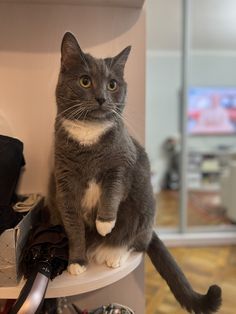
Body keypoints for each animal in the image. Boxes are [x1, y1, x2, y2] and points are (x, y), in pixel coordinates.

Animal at [47, 32, 221, 314]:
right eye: (85, 81)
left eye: (112, 85)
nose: (101, 98)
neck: (88, 134)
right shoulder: (64, 180)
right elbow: (74, 226)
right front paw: (77, 261)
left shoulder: (124, 162)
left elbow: (113, 188)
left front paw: (104, 223)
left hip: (143, 205)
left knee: (137, 241)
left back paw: (115, 253)